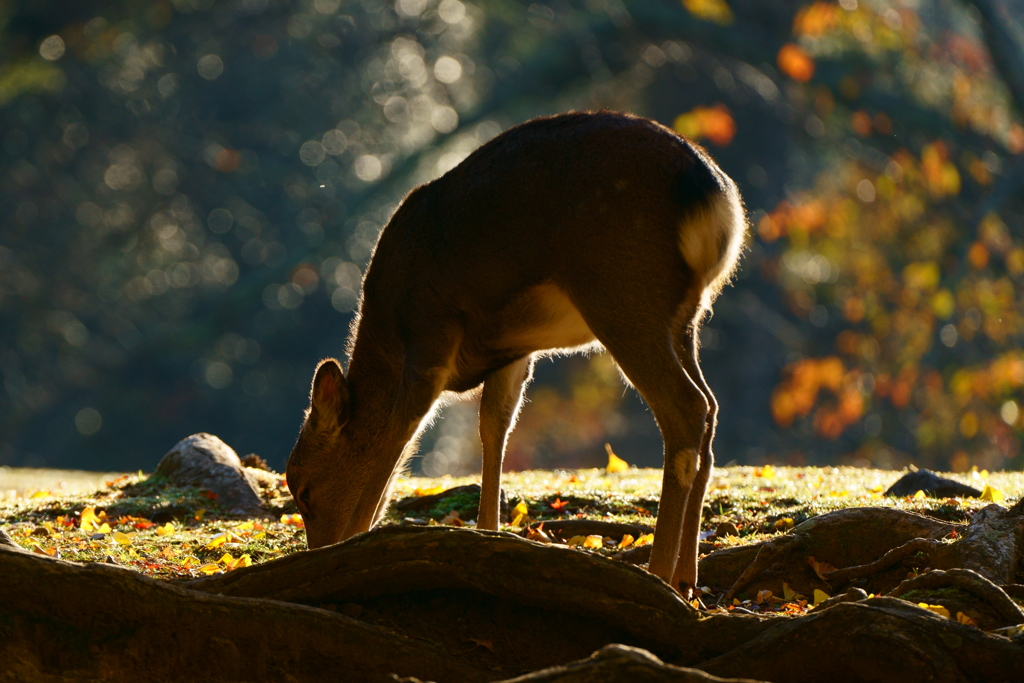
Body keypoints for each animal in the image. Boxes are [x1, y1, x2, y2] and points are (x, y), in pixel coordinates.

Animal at [288, 109, 745, 593]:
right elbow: (493, 427)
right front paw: (488, 534)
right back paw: (687, 576)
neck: (387, 335)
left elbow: (399, 432)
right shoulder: (513, 352)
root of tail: (717, 202)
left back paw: (658, 574)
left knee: (687, 406)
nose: (316, 551)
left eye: (303, 490)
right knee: (711, 409)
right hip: (685, 315)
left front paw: (354, 539)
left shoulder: (430, 334)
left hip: (623, 291)